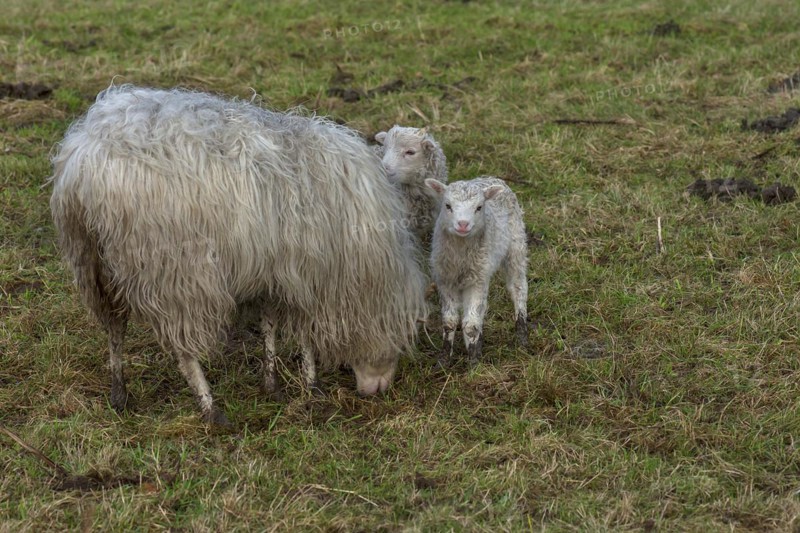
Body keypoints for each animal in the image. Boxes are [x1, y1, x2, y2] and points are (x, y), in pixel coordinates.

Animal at [50, 85, 428, 425]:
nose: (377, 390)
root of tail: (84, 160)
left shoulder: (275, 268)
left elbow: (270, 321)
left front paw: (272, 383)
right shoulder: (308, 273)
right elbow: (304, 334)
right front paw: (311, 383)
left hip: (93, 262)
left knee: (115, 327)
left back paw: (119, 393)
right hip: (175, 269)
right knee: (182, 348)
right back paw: (210, 407)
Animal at [424, 176, 528, 367]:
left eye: (479, 207)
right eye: (447, 205)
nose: (463, 224)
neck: (460, 256)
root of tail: (493, 177)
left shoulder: (477, 280)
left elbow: (471, 324)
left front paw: (473, 363)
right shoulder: (445, 280)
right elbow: (450, 322)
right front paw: (444, 360)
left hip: (516, 245)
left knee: (518, 287)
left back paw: (522, 335)